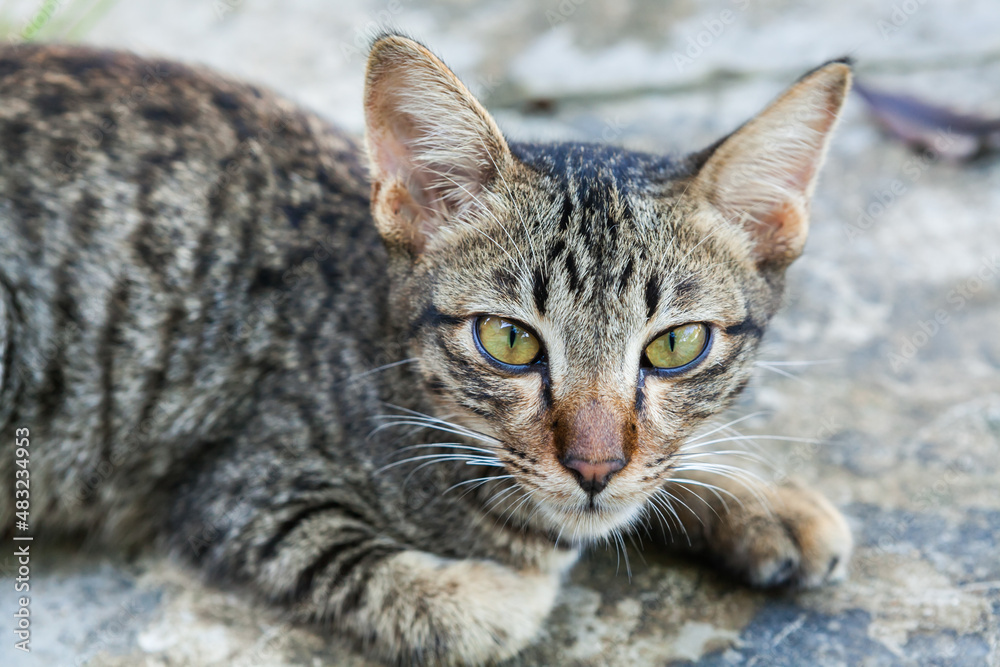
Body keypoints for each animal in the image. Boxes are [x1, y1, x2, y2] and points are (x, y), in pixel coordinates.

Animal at [0, 32, 856, 667]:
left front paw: (758, 499)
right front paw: (517, 584)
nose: (594, 465)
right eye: (508, 339)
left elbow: (665, 468)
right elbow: (444, 602)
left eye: (676, 345)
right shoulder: (240, 494)